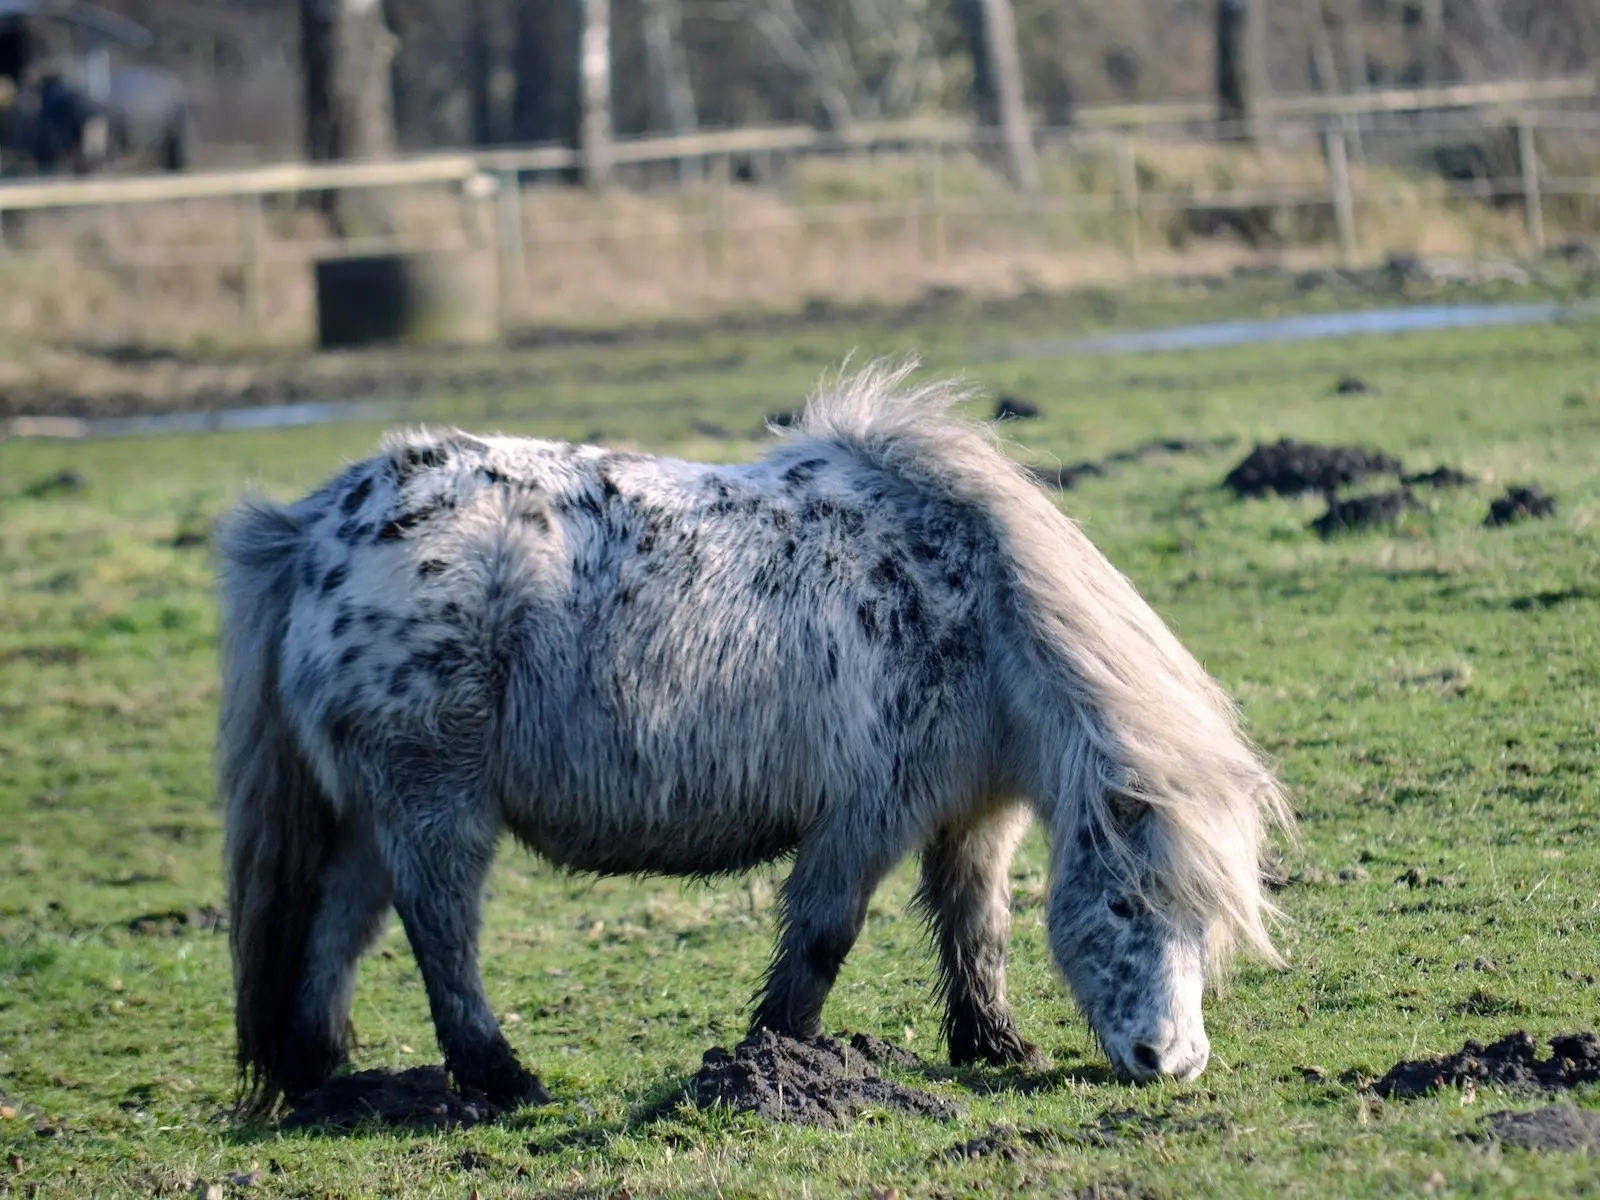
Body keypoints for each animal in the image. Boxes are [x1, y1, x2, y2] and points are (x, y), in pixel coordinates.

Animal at [219, 361, 1292, 1113]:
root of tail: (315, 529)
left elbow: (976, 926)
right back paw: (500, 1080)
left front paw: (995, 1045)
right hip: (432, 799)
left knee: (338, 926)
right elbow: (822, 936)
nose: (1169, 1061)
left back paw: (324, 1082)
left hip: (366, 809)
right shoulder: (867, 815)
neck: (973, 605)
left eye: (1206, 922)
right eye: (1122, 903)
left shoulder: (975, 815)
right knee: (439, 929)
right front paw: (774, 1060)